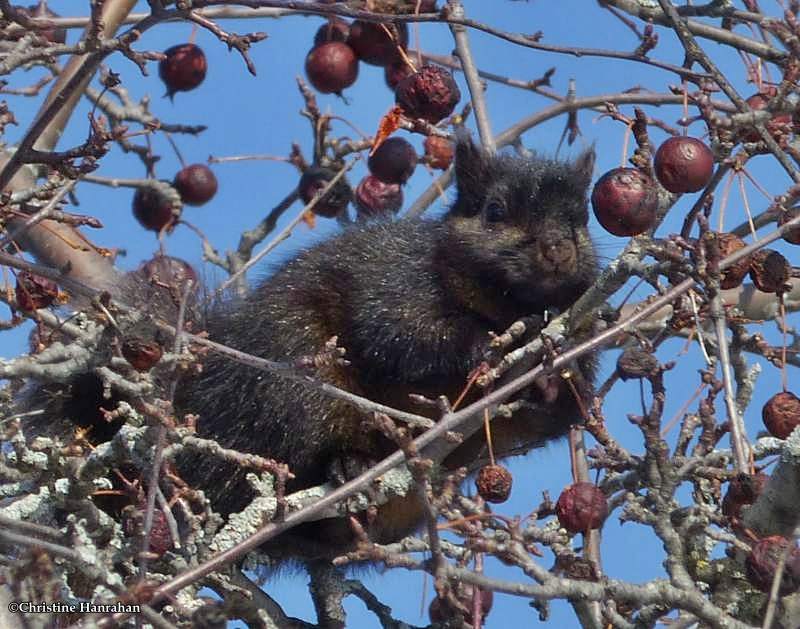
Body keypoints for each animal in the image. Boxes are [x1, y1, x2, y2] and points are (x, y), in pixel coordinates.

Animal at [177, 134, 600, 556]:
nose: (558, 248)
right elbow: (402, 334)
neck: (508, 306)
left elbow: (556, 415)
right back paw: (349, 464)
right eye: (494, 211)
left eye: (581, 217)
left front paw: (552, 378)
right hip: (295, 368)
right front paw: (481, 346)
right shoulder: (394, 283)